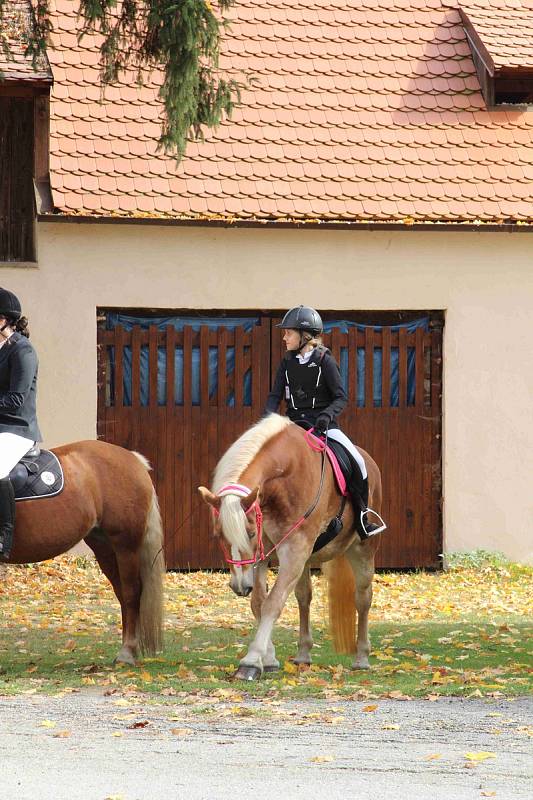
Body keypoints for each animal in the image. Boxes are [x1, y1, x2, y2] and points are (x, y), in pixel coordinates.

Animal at [3, 440, 164, 664]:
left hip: (126, 545)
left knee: (131, 593)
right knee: (122, 594)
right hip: (105, 548)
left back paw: (127, 652)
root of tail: (133, 458)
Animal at [200, 412, 382, 680]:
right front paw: (268, 658)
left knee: (363, 599)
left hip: (362, 549)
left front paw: (251, 662)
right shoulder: (265, 553)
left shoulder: (294, 551)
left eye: (250, 533)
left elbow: (273, 602)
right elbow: (259, 602)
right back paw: (304, 654)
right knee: (304, 598)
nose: (239, 586)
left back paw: (361, 658)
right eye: (217, 535)